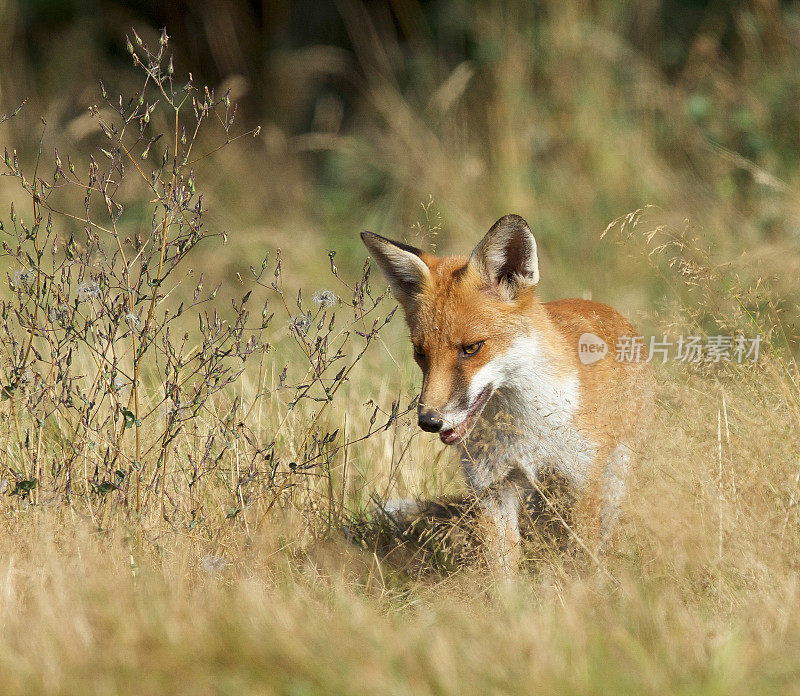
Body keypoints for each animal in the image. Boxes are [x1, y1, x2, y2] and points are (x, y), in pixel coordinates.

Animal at [362, 215, 656, 572]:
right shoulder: (493, 488)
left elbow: (580, 564)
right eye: (420, 352)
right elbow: (503, 571)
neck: (525, 431)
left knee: (606, 539)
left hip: (614, 482)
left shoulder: (581, 482)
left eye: (472, 348)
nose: (429, 421)